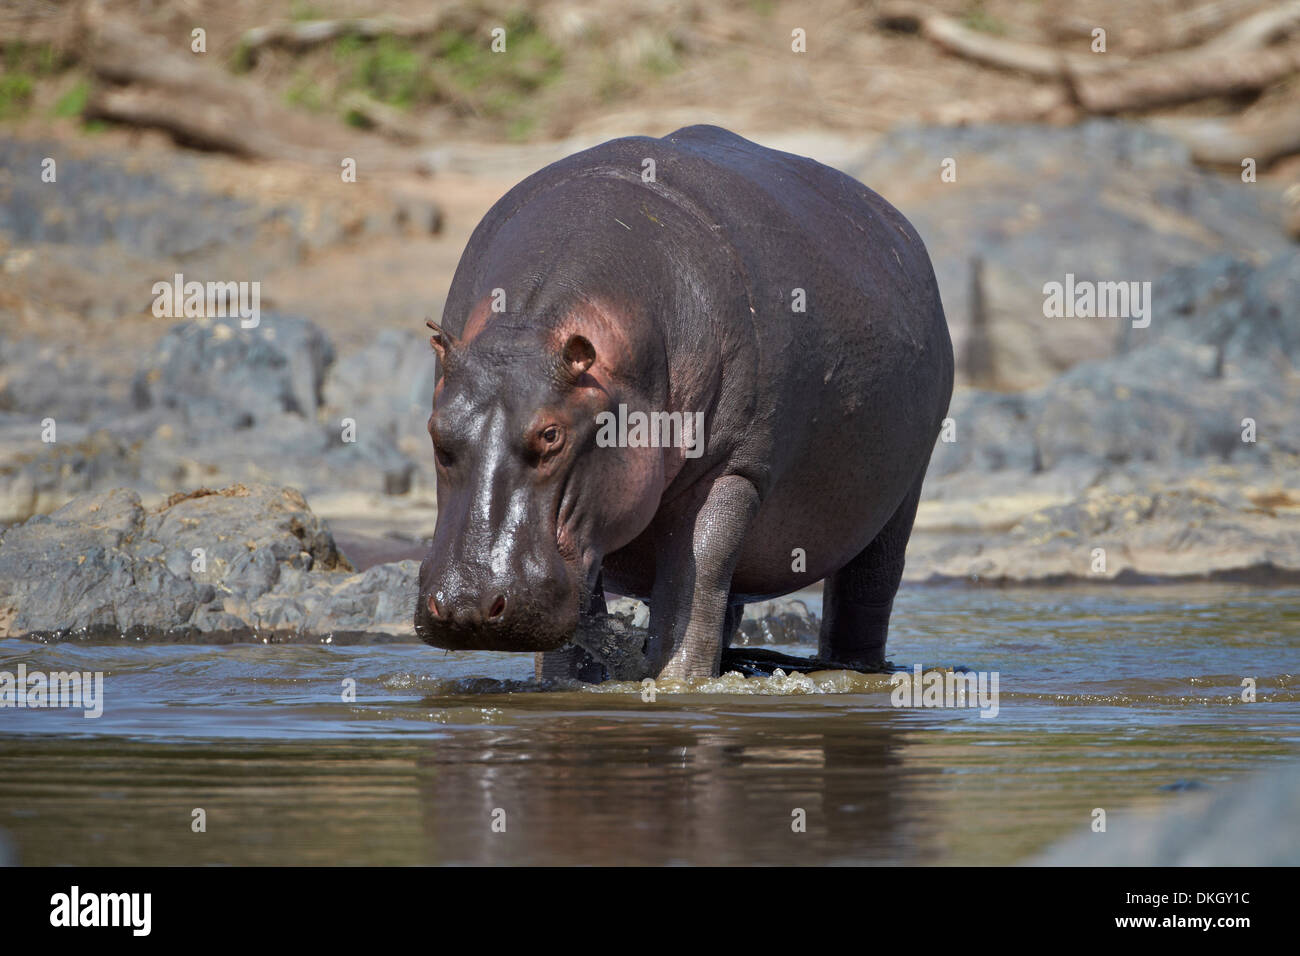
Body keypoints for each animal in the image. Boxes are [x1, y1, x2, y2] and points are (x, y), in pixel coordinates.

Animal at [414, 125, 953, 681]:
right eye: (436, 431)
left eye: (551, 434)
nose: (466, 604)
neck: (531, 330)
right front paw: (566, 684)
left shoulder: (733, 470)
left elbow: (696, 581)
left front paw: (681, 683)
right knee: (728, 603)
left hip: (899, 499)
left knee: (864, 592)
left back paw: (853, 668)